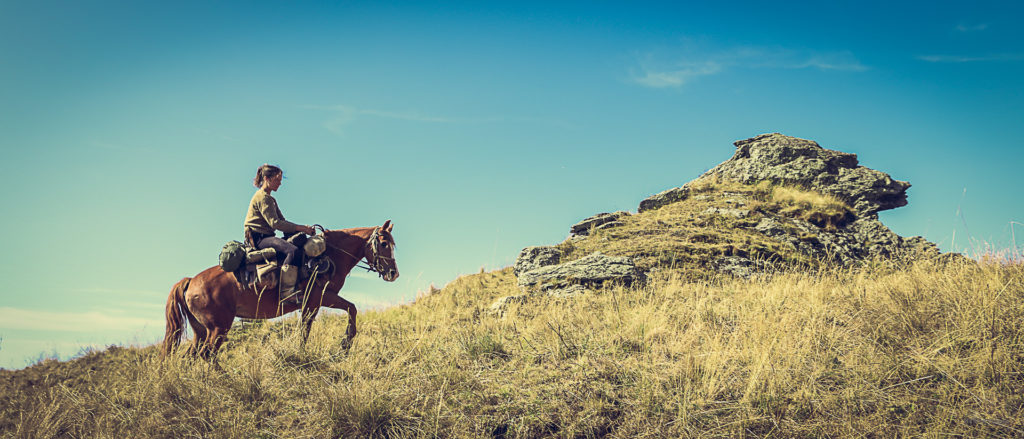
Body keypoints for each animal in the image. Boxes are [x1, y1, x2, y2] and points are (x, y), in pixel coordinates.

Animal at [161, 221, 397, 358]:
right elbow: (313, 328)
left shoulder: (317, 302)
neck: (329, 254)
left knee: (192, 356)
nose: (394, 273)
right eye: (384, 244)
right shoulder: (317, 300)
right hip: (218, 328)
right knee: (206, 355)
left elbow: (344, 312)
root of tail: (191, 281)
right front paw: (344, 344)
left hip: (202, 330)